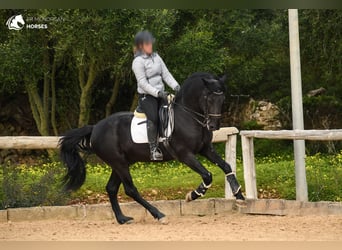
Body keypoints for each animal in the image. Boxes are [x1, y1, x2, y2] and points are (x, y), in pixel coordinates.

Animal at [59, 72, 246, 225]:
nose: (213, 126)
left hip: (121, 163)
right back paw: (159, 214)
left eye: (222, 99)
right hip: (119, 163)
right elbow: (207, 175)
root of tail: (95, 128)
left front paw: (239, 195)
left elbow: (226, 166)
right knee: (130, 189)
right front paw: (193, 195)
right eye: (208, 98)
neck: (188, 116)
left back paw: (122, 219)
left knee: (111, 188)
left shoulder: (205, 149)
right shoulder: (185, 154)